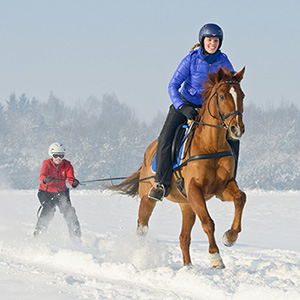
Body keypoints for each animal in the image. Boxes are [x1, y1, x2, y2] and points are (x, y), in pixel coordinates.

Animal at [110, 67, 246, 268]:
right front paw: (216, 257)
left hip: (187, 205)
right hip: (148, 199)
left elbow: (240, 198)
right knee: (142, 228)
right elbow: (208, 222)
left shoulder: (221, 188)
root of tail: (147, 154)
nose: (237, 129)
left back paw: (188, 268)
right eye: (222, 96)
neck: (210, 145)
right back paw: (141, 256)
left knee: (184, 238)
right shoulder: (195, 189)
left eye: (242, 95)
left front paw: (230, 236)